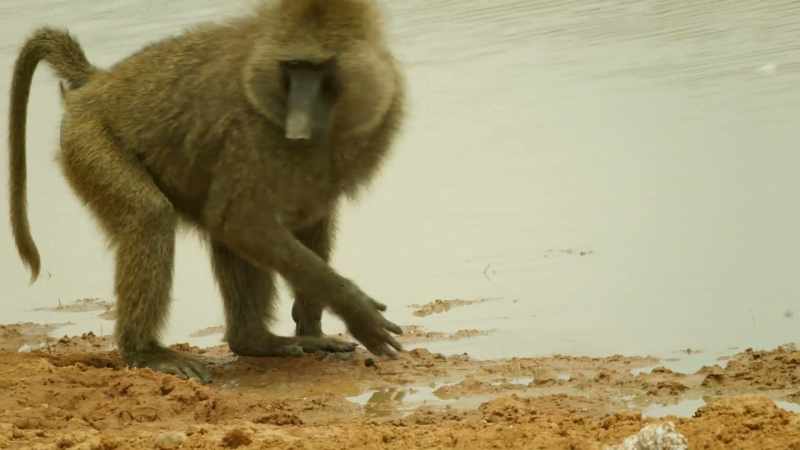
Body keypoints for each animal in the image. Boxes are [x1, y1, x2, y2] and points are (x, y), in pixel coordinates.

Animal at [8, 0, 406, 383]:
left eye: (319, 69)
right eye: (293, 68)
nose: (298, 129)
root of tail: (98, 81)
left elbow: (305, 216)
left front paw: (311, 323)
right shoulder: (250, 135)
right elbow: (240, 221)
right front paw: (357, 311)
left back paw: (255, 342)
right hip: (87, 138)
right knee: (151, 216)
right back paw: (146, 352)